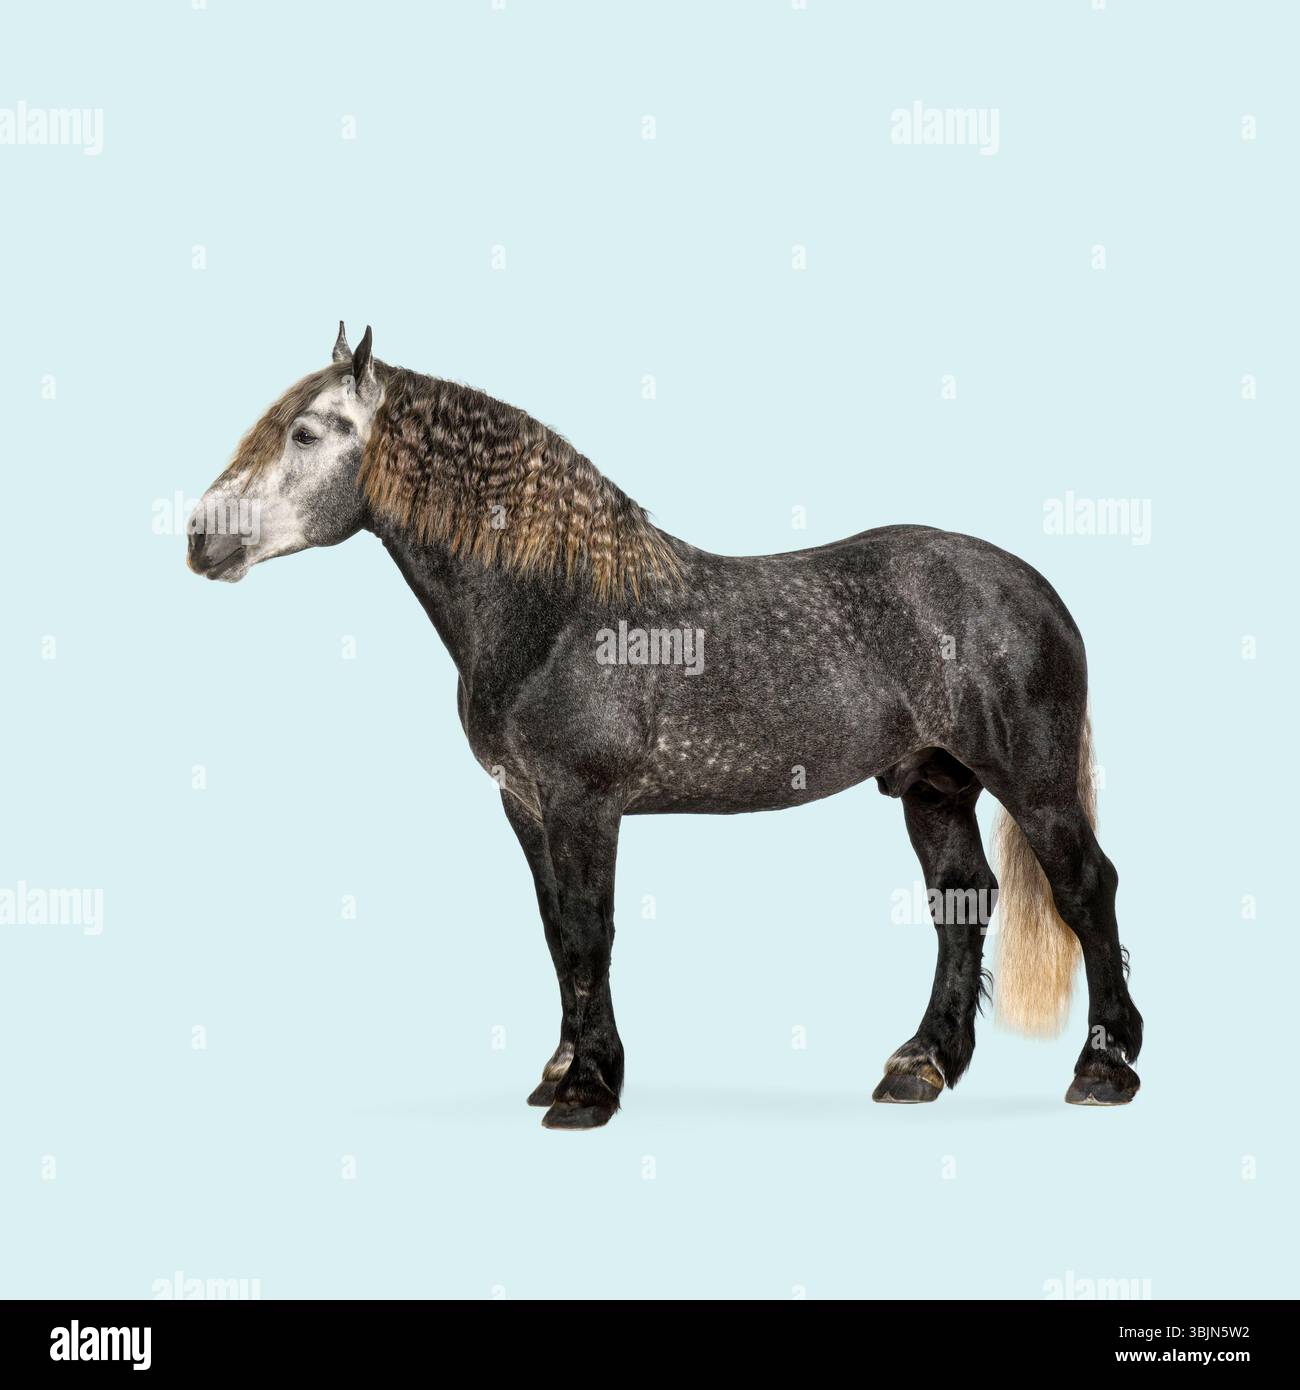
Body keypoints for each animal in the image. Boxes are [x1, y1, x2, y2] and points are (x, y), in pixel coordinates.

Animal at [188, 322, 1143, 1129]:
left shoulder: (584, 804)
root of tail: (1033, 586)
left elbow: (589, 931)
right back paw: (922, 1065)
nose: (201, 538)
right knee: (960, 900)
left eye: (307, 433)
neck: (556, 609)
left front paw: (587, 1090)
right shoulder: (525, 806)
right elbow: (557, 934)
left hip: (1032, 781)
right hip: (934, 784)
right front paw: (561, 1069)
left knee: (1085, 887)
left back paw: (1104, 1070)